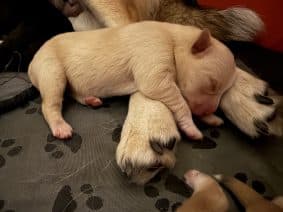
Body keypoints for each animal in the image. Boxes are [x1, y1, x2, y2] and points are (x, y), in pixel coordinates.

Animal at [28, 21, 237, 140]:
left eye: (222, 91)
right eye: (212, 84)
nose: (209, 111)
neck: (174, 40)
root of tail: (31, 63)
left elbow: (187, 101)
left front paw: (211, 118)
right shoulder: (156, 75)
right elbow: (182, 103)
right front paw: (192, 128)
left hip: (68, 79)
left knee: (73, 92)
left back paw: (90, 99)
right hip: (52, 71)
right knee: (50, 104)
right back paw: (60, 127)